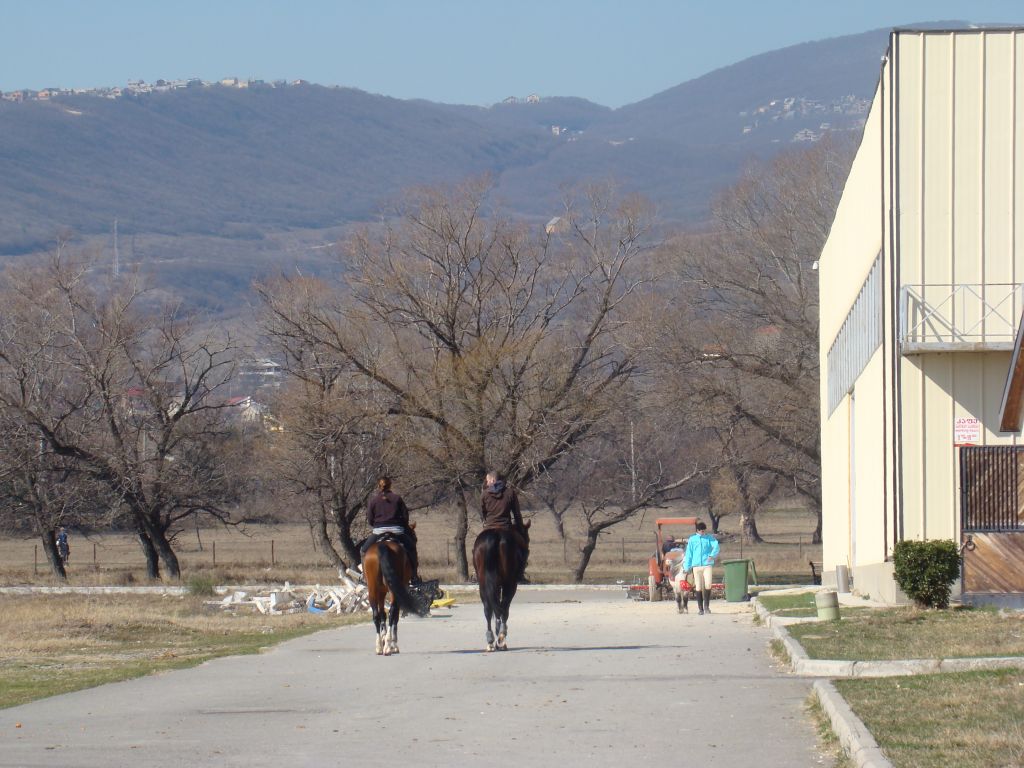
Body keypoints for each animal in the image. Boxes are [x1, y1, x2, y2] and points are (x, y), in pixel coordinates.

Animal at [471, 520, 532, 651]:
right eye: (527, 538)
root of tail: (495, 534)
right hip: (510, 584)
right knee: (504, 607)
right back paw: (501, 637)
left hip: (483, 585)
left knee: (489, 609)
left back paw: (490, 641)